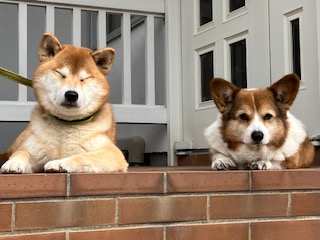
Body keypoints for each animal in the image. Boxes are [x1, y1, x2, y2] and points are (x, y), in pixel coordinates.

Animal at [0, 32, 127, 173]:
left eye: (84, 78)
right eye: (61, 74)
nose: (71, 95)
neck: (65, 123)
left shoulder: (112, 153)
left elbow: (81, 156)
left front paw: (59, 163)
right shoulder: (31, 149)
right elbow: (20, 152)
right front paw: (13, 163)